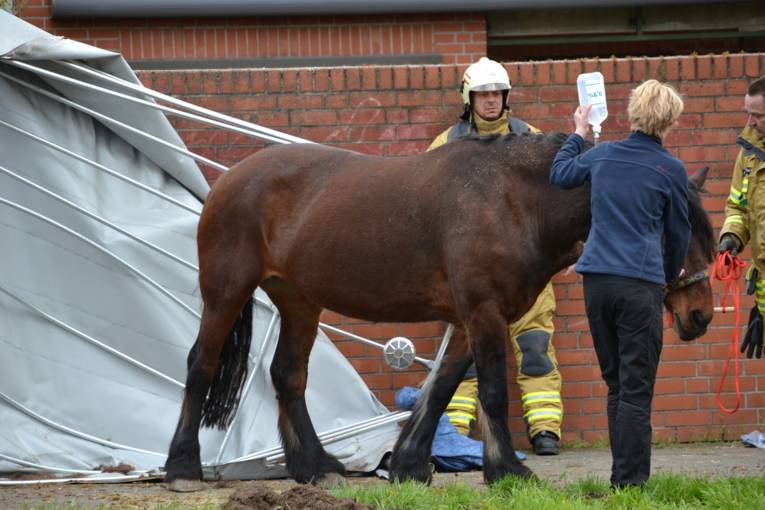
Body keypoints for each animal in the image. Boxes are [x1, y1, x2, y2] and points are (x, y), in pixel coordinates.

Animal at [163, 132, 715, 490]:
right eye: (671, 223)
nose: (701, 315)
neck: (514, 200)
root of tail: (230, 180)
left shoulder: (474, 319)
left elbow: (445, 386)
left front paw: (409, 464)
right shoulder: (484, 313)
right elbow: (491, 394)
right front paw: (508, 470)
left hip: (299, 301)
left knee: (288, 375)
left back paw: (315, 466)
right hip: (226, 292)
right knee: (200, 364)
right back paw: (183, 468)